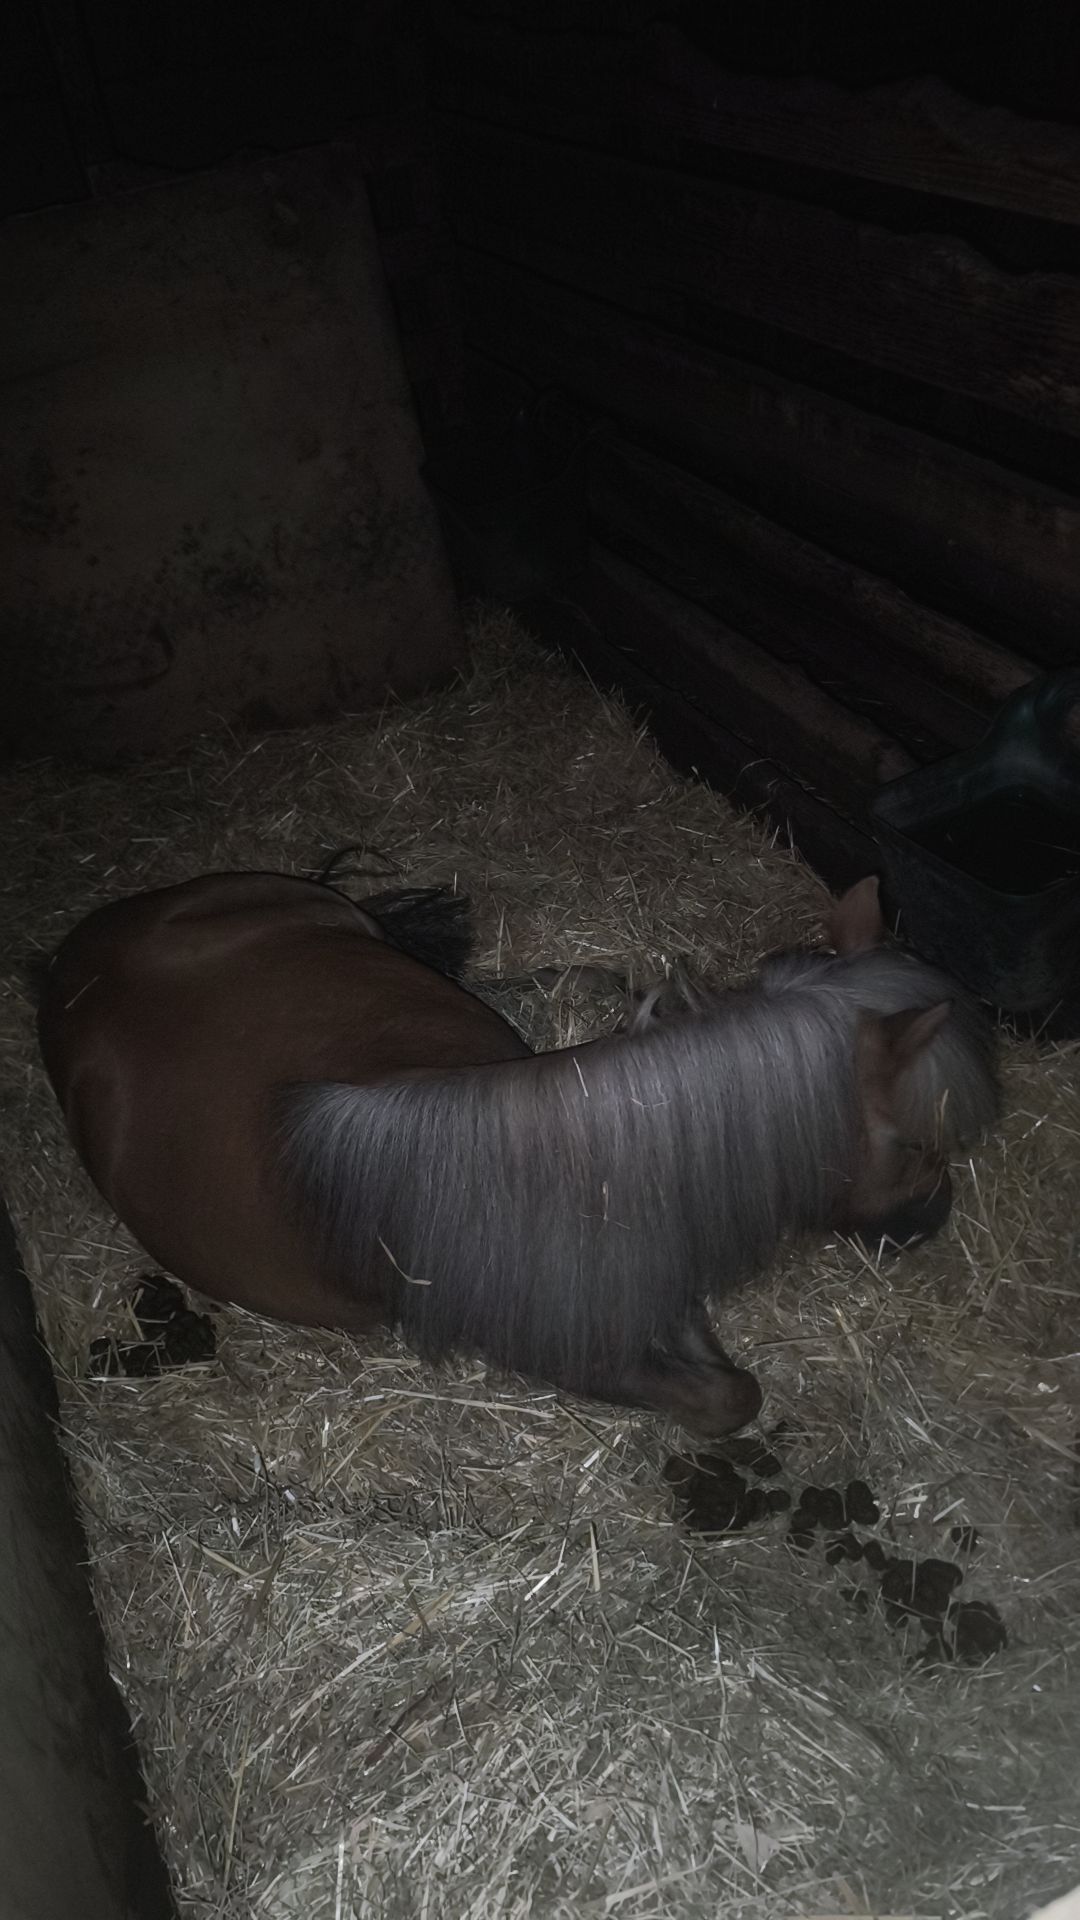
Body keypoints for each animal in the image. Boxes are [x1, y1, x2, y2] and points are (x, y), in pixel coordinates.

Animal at [36, 869, 998, 1435]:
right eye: (918, 1141)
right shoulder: (582, 1348)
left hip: (330, 918)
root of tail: (76, 954)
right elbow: (729, 1396)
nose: (934, 1220)